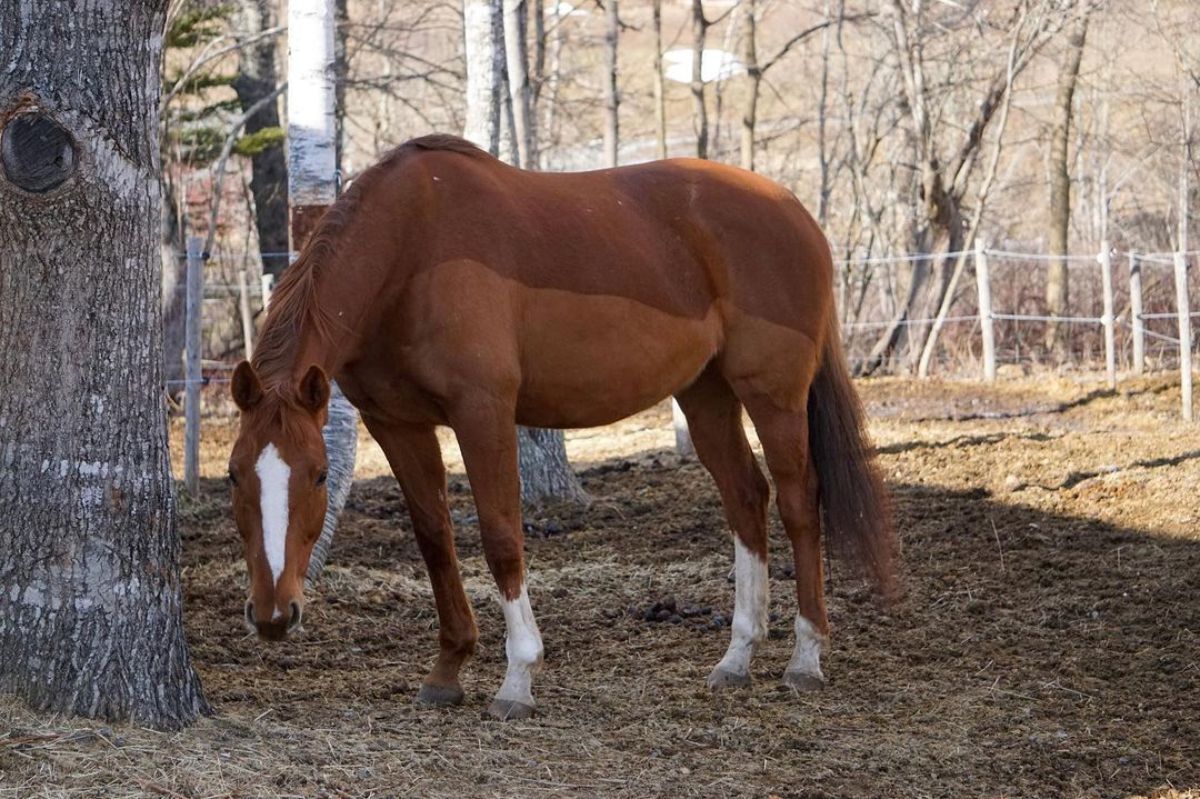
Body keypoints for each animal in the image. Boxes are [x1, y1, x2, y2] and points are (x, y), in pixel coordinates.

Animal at [229, 133, 897, 719]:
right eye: (236, 476)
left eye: (319, 476)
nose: (273, 614)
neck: (411, 249)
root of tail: (794, 211)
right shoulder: (396, 423)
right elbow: (433, 537)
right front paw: (448, 669)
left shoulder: (483, 412)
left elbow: (501, 537)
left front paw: (517, 680)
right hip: (705, 395)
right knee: (746, 497)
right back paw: (737, 658)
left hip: (772, 394)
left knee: (799, 502)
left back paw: (805, 659)